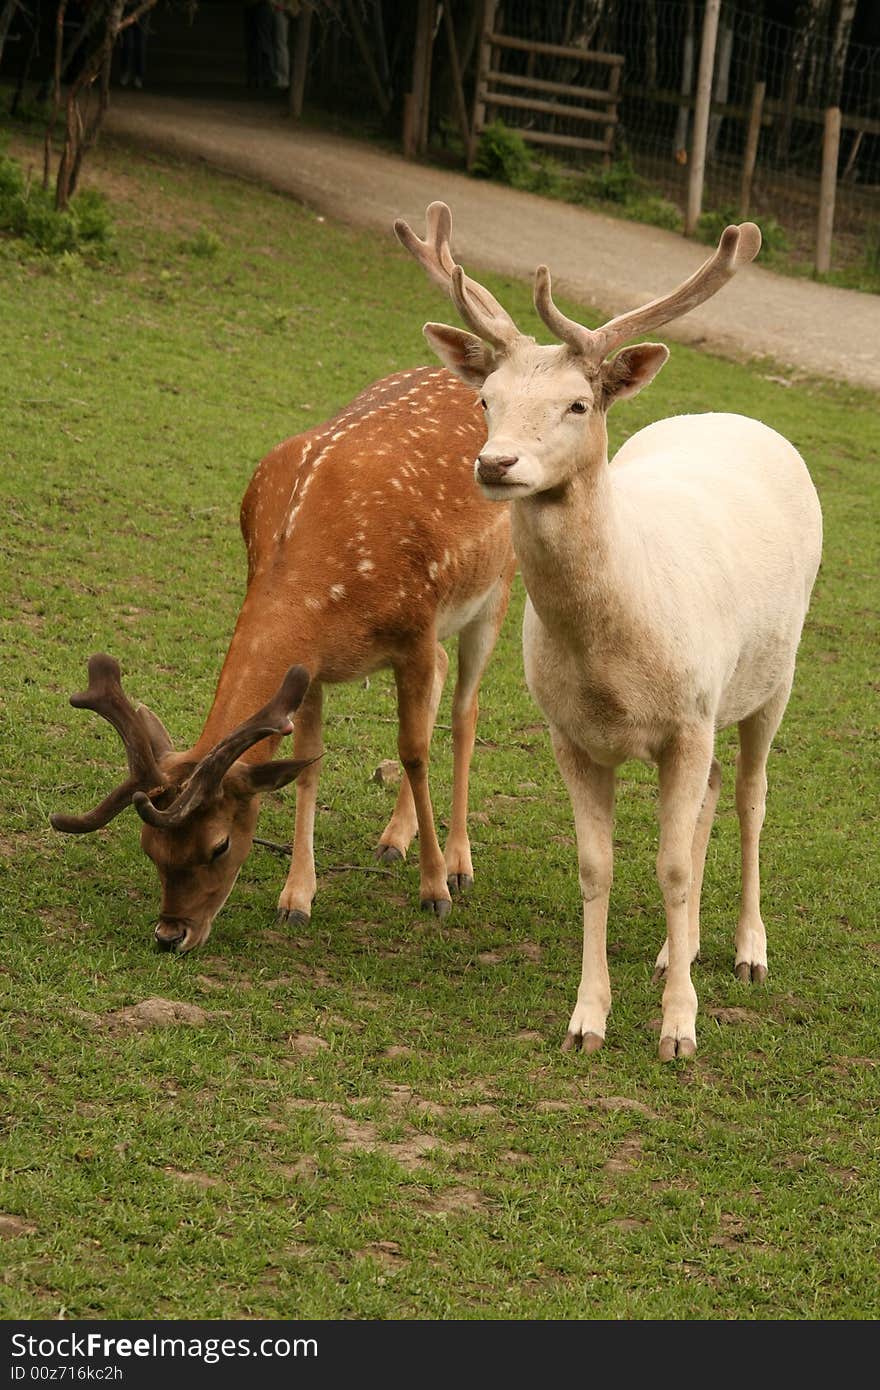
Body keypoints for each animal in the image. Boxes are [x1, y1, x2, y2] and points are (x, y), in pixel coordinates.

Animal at [51, 358, 514, 950]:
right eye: (149, 850)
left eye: (219, 845)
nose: (170, 934)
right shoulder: (313, 666)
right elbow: (310, 762)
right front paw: (296, 898)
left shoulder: (413, 629)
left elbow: (412, 753)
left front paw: (434, 890)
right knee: (444, 677)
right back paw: (393, 840)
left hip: (497, 586)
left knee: (463, 710)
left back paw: (457, 864)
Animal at [394, 201, 823, 1056]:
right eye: (485, 399)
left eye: (578, 404)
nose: (495, 463)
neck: (612, 661)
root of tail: (739, 415)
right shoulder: (571, 732)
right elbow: (598, 867)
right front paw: (587, 1019)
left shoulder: (687, 720)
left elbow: (673, 869)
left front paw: (680, 1029)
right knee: (716, 795)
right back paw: (674, 949)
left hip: (774, 679)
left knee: (751, 794)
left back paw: (747, 950)